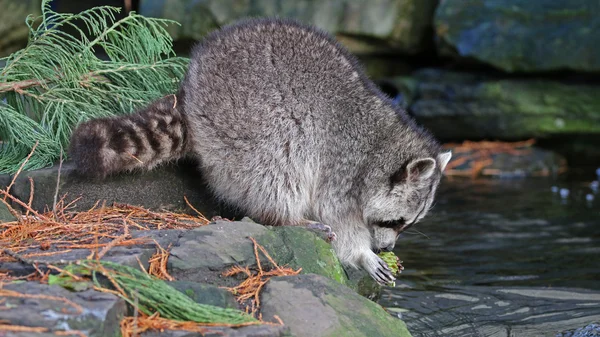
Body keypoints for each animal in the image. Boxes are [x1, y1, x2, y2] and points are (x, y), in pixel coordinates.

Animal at [69, 18, 450, 284]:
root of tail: (189, 92)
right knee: (279, 160)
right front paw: (361, 253)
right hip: (247, 116)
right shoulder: (344, 163)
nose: (387, 248)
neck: (381, 143)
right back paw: (286, 217)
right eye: (395, 221)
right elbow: (335, 211)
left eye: (406, 225)